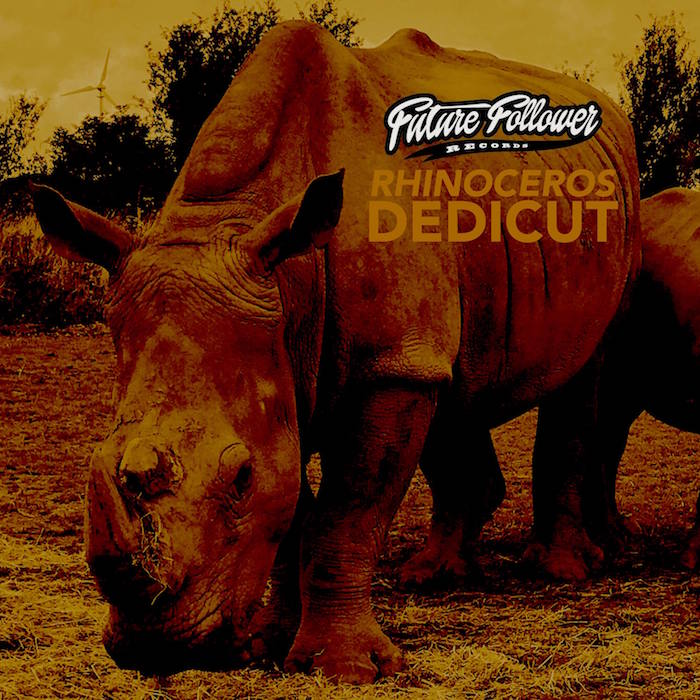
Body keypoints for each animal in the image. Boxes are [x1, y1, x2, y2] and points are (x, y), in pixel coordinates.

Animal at [31, 22, 639, 683]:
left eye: (239, 477)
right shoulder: (291, 362)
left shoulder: (386, 367)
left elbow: (347, 512)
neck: (286, 278)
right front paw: (267, 643)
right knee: (454, 384)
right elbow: (292, 504)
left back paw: (562, 570)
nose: (154, 649)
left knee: (583, 371)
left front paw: (345, 669)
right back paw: (433, 575)